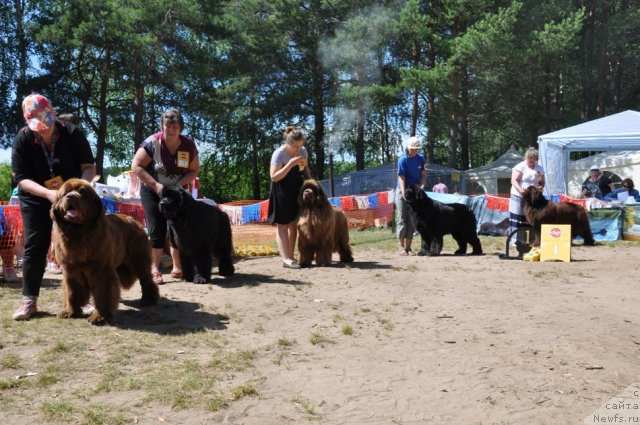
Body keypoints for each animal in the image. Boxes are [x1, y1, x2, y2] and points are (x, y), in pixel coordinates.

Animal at [51, 177, 159, 322]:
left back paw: (148, 300)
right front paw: (70, 311)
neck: (78, 234)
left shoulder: (101, 269)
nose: (70, 196)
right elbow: (71, 292)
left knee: (146, 279)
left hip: (138, 260)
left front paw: (100, 316)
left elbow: (103, 293)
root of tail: (135, 220)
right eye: (65, 193)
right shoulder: (70, 269)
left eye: (83, 192)